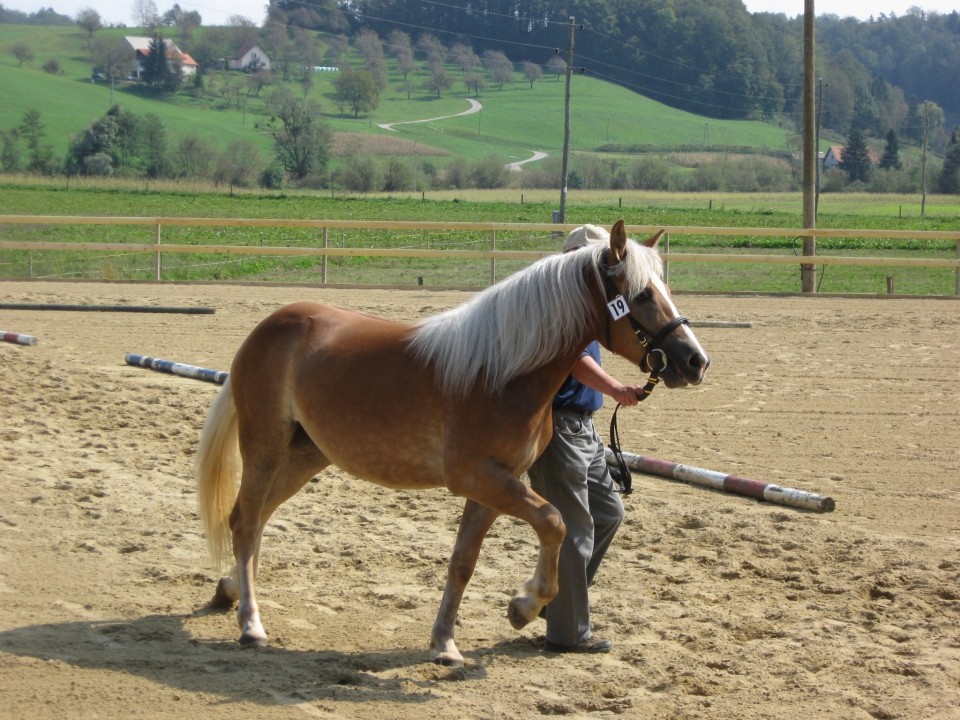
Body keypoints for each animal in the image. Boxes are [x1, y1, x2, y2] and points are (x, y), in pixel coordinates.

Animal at [197, 217, 704, 668]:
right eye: (642, 295)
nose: (696, 361)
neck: (500, 372)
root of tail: (269, 325)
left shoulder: (495, 485)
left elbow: (464, 561)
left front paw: (445, 644)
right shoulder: (478, 478)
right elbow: (555, 521)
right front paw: (525, 605)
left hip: (307, 453)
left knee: (255, 518)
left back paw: (230, 590)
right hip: (264, 444)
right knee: (245, 521)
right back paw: (251, 625)